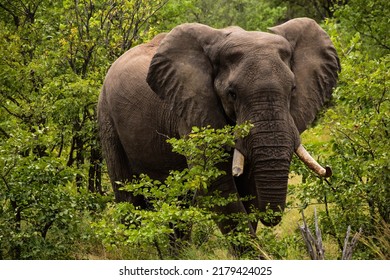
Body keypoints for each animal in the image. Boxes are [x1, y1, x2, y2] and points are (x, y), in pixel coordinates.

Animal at [98, 18, 342, 243]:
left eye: (292, 89)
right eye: (232, 94)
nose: (329, 169)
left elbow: (248, 186)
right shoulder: (193, 109)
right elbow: (216, 184)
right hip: (107, 118)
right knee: (128, 199)